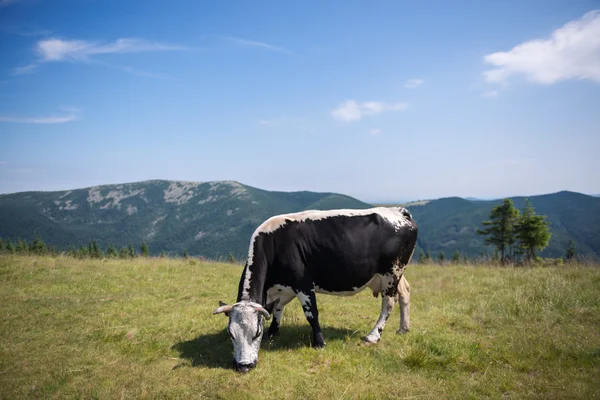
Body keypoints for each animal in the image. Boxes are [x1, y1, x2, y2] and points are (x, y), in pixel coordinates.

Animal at [211, 206, 418, 372]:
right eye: (231, 334)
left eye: (256, 333)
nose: (243, 366)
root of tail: (399, 211)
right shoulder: (283, 288)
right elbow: (277, 309)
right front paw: (273, 332)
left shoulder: (303, 283)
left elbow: (311, 314)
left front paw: (319, 342)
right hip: (395, 274)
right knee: (405, 292)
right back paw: (404, 328)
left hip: (392, 271)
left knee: (389, 303)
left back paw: (373, 336)